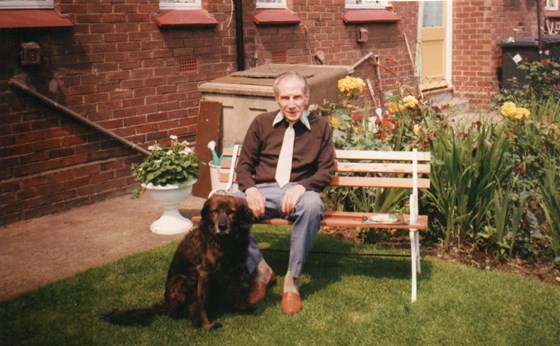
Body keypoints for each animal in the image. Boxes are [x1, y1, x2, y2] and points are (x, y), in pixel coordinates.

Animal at [105, 193, 254, 332]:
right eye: (215, 211)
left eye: (232, 212)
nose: (222, 226)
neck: (226, 242)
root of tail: (165, 302)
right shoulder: (204, 273)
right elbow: (202, 303)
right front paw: (206, 325)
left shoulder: (235, 268)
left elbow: (236, 289)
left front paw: (241, 308)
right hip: (182, 280)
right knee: (174, 313)